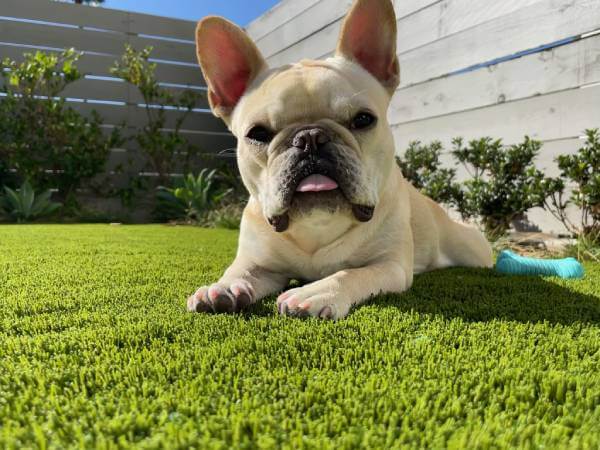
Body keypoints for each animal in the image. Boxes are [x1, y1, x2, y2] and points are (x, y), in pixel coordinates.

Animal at [188, 0, 492, 320]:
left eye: (363, 119)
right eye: (257, 133)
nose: (310, 137)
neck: (318, 226)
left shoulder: (390, 266)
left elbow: (352, 273)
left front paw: (315, 292)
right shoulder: (259, 264)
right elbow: (238, 271)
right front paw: (222, 288)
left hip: (471, 249)